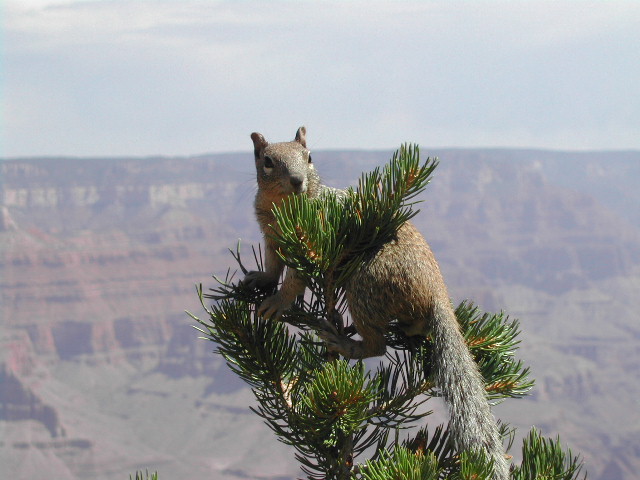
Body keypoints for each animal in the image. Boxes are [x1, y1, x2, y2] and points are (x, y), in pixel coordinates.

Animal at [244, 125, 510, 478]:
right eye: (267, 161)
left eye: (309, 157)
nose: (298, 181)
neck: (285, 209)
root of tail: (437, 291)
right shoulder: (272, 239)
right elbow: (273, 268)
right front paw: (259, 280)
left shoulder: (310, 240)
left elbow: (295, 279)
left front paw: (278, 302)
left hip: (365, 284)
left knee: (377, 345)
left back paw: (344, 342)